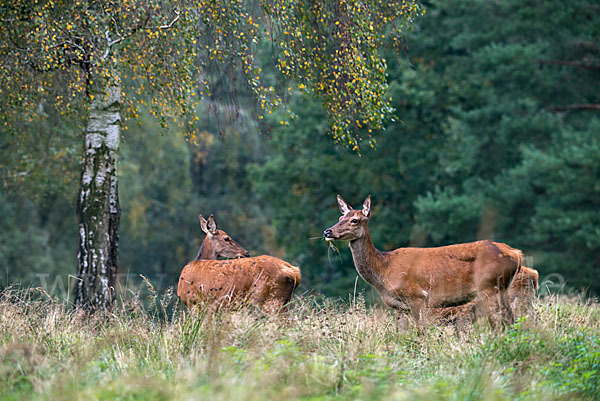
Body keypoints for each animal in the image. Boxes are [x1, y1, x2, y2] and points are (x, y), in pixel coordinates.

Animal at [324, 195, 520, 326]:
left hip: (488, 287)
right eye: (340, 217)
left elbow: (421, 334)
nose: (327, 231)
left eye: (355, 220)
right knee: (511, 320)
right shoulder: (398, 307)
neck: (384, 271)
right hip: (502, 288)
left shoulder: (418, 297)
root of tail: (516, 253)